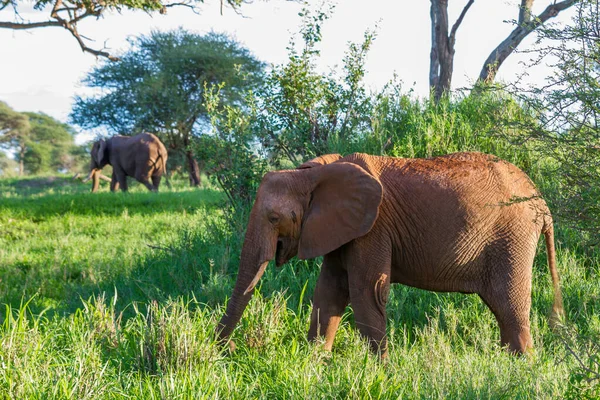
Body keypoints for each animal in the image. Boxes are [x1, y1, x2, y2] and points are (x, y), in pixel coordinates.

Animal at [216, 152, 564, 356]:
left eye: (274, 219)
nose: (229, 349)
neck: (312, 173)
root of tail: (543, 204)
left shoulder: (372, 228)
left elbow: (365, 290)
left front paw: (379, 370)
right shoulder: (342, 227)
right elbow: (329, 290)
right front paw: (315, 363)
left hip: (513, 235)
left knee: (509, 303)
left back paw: (522, 367)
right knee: (502, 308)